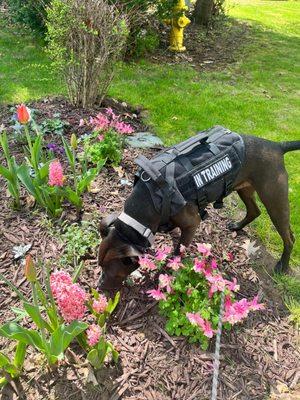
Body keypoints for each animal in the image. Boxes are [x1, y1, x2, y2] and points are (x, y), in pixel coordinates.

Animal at [98, 134, 298, 288]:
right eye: (99, 265)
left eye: (111, 270)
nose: (99, 287)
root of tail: (277, 146)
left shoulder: (192, 224)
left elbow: (178, 251)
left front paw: (168, 270)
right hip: (245, 189)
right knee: (255, 211)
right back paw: (237, 226)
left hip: (275, 201)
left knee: (289, 237)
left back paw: (283, 265)